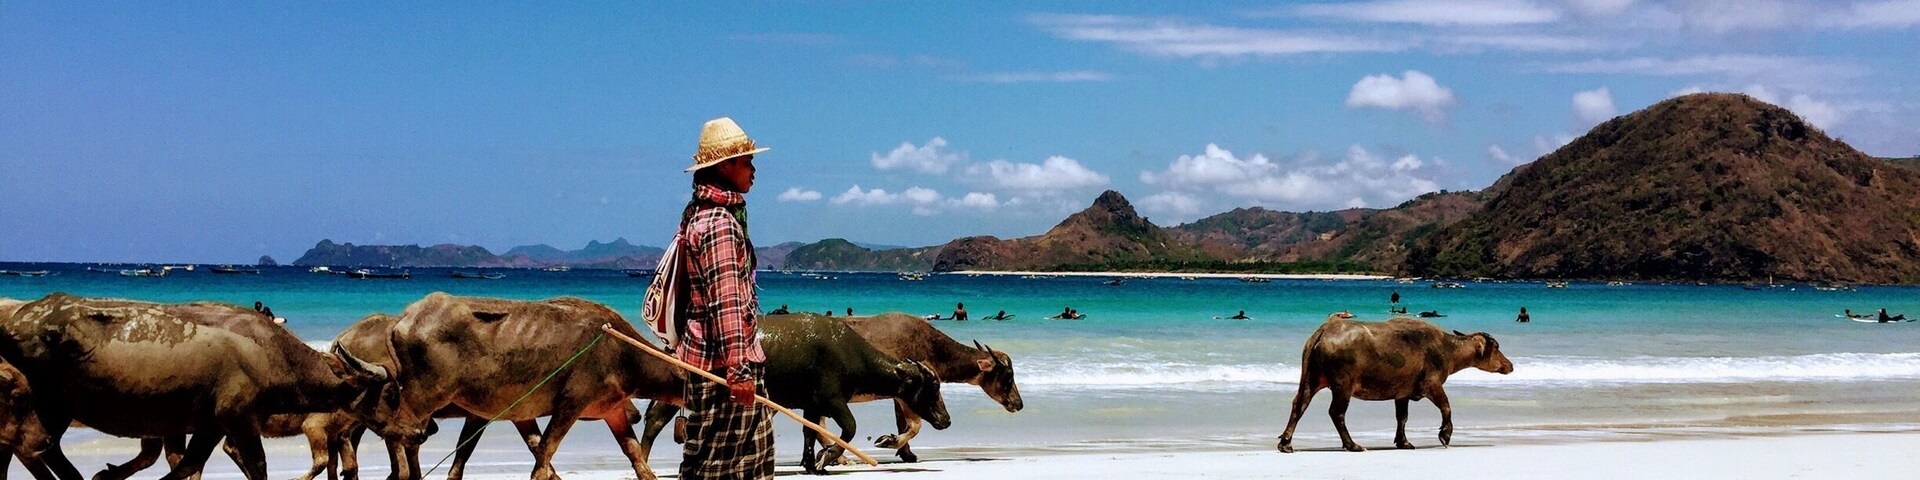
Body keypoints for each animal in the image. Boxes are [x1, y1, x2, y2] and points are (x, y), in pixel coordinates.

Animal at [1278, 314, 1513, 453]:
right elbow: (1446, 407)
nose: (1509, 365)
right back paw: (1352, 445)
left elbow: (1402, 417)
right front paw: (1445, 435)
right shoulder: (1432, 385)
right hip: (1343, 385)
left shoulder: (1402, 394)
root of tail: (1324, 330)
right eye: (1497, 347)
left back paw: (1286, 443)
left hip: (1311, 379)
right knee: (1336, 412)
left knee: (1299, 405)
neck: (1445, 347)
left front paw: (1404, 442)